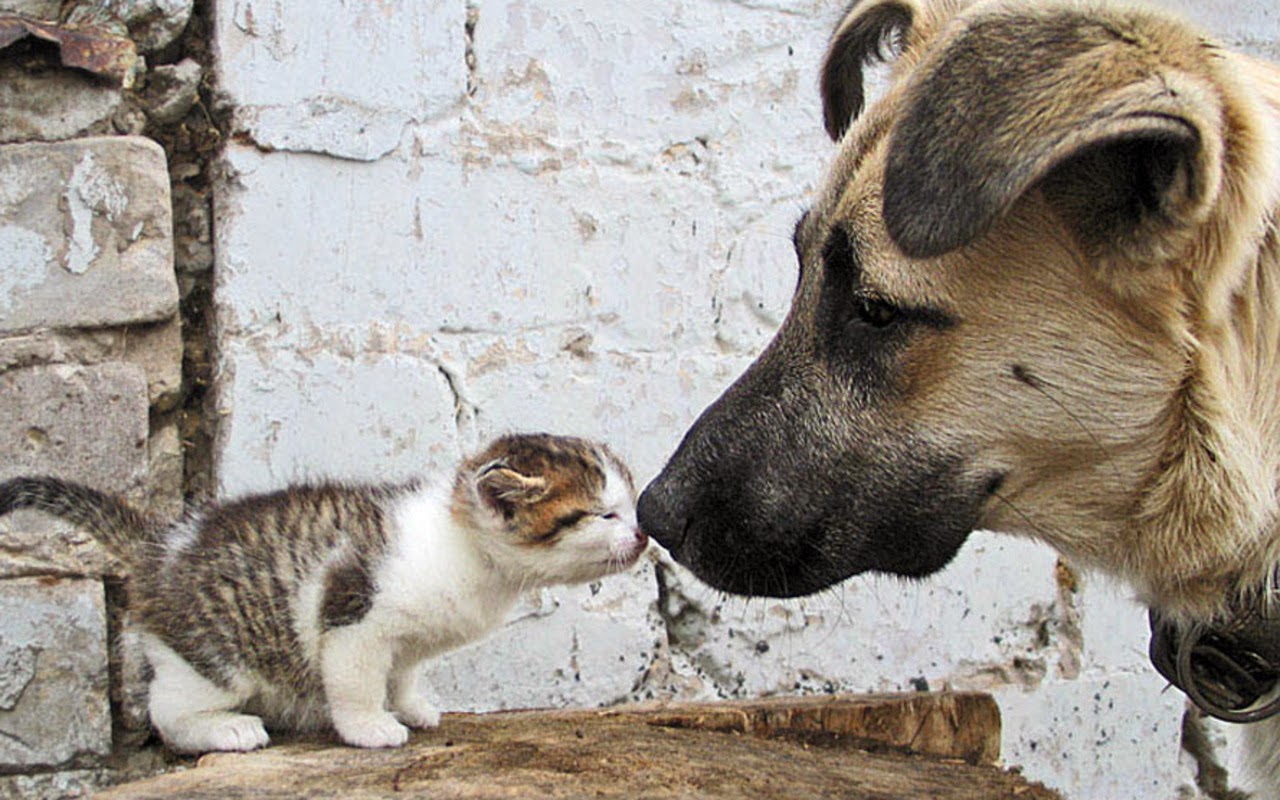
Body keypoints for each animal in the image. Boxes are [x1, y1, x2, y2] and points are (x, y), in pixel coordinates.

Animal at [0, 432, 645, 752]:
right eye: (604, 514)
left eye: (630, 507)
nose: (643, 536)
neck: (466, 548)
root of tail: (163, 545)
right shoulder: (354, 616)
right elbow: (357, 685)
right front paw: (371, 729)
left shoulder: (405, 641)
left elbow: (401, 674)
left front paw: (411, 706)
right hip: (213, 657)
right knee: (169, 711)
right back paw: (226, 729)